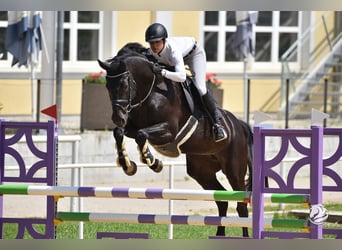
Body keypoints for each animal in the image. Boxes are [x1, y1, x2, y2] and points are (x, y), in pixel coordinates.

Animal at [97, 42, 252, 236]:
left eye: (125, 84)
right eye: (107, 86)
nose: (118, 118)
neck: (152, 91)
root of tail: (239, 125)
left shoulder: (169, 130)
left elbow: (142, 135)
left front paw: (153, 162)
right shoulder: (132, 127)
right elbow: (119, 133)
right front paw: (128, 165)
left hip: (234, 169)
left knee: (241, 205)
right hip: (201, 170)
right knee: (222, 200)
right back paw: (219, 236)